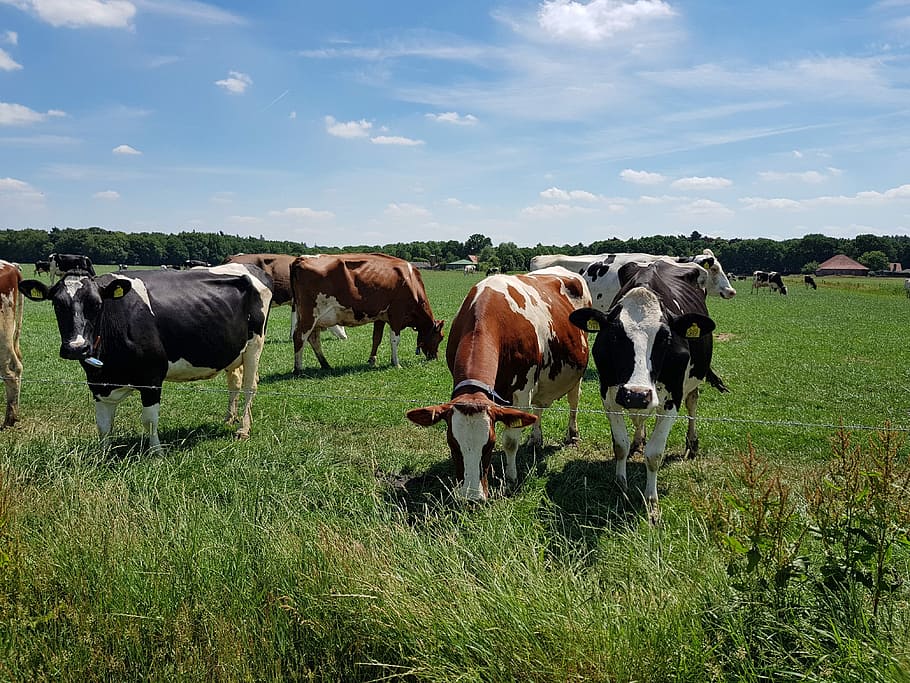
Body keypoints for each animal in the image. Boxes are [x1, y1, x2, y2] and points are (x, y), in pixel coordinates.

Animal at [17, 264, 272, 452]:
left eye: (97, 304)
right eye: (57, 304)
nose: (77, 348)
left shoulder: (152, 377)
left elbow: (149, 420)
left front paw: (156, 453)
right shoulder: (98, 383)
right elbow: (103, 424)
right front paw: (103, 455)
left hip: (255, 346)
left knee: (250, 386)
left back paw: (243, 429)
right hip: (233, 352)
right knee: (234, 383)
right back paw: (229, 418)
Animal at [292, 252, 446, 372]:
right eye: (440, 337)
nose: (435, 358)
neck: (411, 282)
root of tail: (301, 259)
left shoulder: (380, 317)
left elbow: (376, 338)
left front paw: (373, 360)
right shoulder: (397, 314)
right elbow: (395, 339)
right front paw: (396, 363)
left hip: (313, 318)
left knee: (313, 339)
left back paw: (325, 364)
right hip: (310, 315)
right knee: (299, 337)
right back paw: (299, 369)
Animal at [406, 268, 592, 502]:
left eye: (489, 445)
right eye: (452, 444)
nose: (472, 497)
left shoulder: (522, 390)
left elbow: (511, 440)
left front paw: (511, 477)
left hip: (577, 373)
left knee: (573, 402)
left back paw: (572, 435)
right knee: (538, 409)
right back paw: (535, 438)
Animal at [568, 260, 728, 512]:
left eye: (665, 337)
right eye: (614, 336)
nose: (636, 395)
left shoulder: (673, 399)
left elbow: (654, 454)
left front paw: (651, 501)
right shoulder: (609, 394)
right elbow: (620, 445)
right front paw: (620, 484)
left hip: (693, 379)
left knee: (692, 403)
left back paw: (692, 443)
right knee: (639, 419)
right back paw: (638, 439)